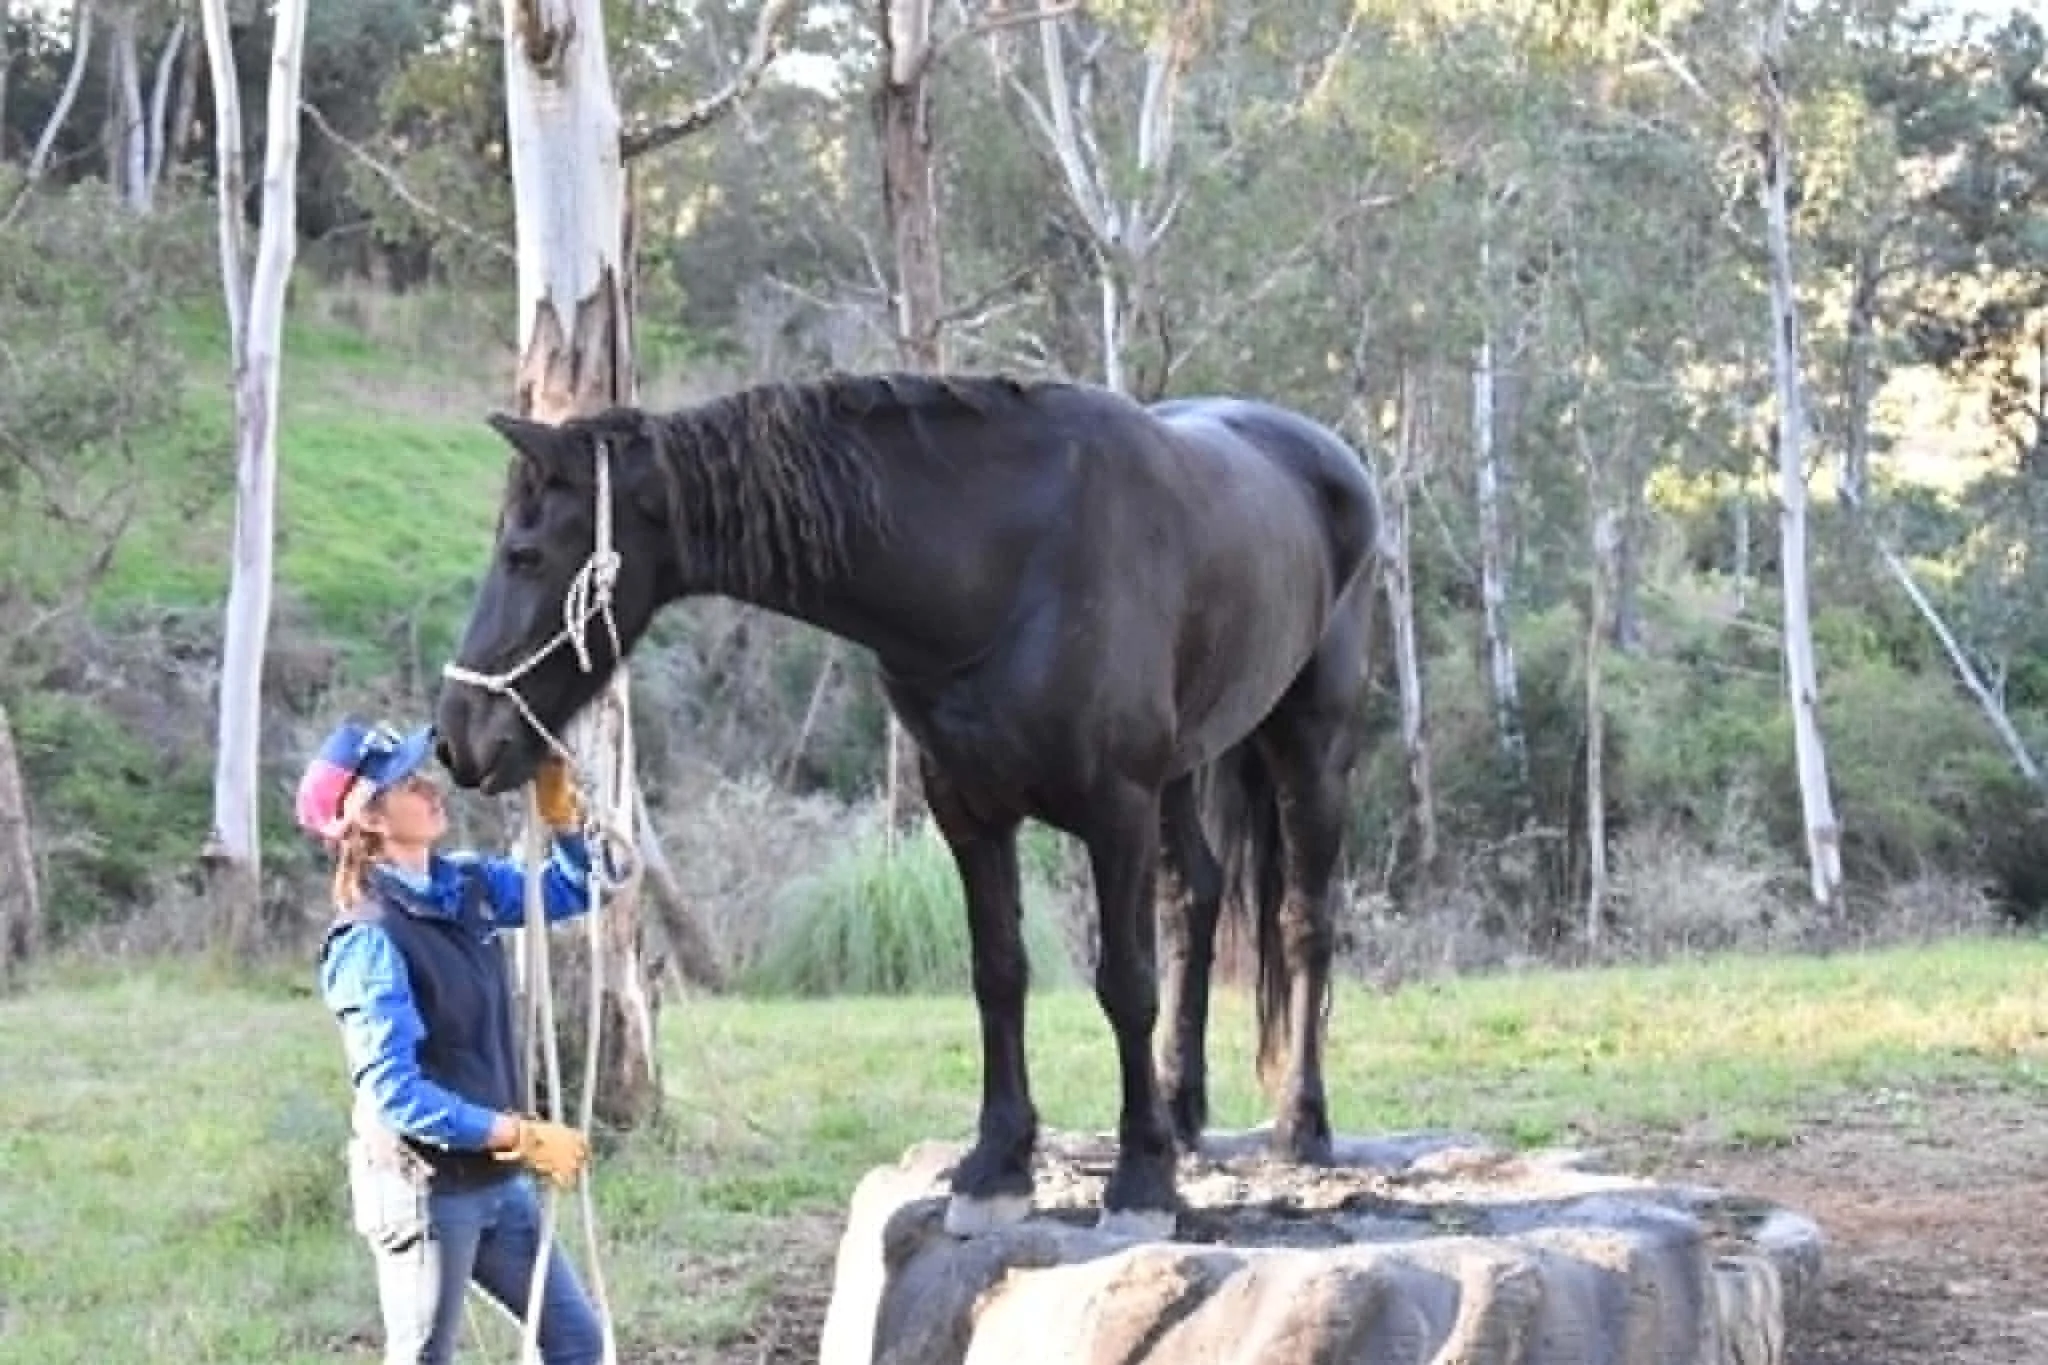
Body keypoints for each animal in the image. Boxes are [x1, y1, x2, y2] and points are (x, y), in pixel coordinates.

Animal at [433, 372, 1381, 1239]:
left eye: (526, 554)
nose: (457, 739)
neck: (1009, 559)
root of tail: (1330, 455)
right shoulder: (968, 809)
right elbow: (997, 973)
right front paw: (997, 1166)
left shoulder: (1116, 811)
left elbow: (1125, 983)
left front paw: (1141, 1183)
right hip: (1183, 774)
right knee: (1198, 898)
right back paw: (1183, 1113)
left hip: (1310, 753)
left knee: (1303, 922)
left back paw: (1301, 1123)